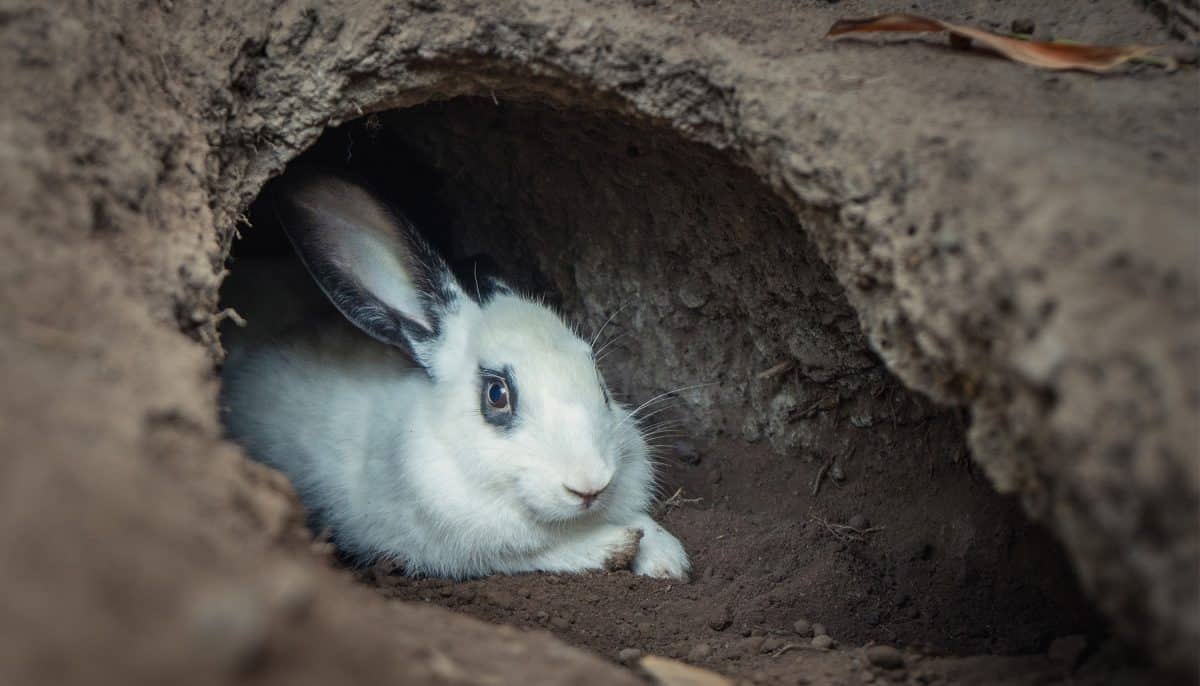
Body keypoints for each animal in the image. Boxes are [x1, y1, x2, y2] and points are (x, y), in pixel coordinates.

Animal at [219, 170, 690, 580]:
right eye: (497, 394)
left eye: (598, 377)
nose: (589, 484)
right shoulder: (456, 550)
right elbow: (541, 552)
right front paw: (619, 547)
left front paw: (667, 558)